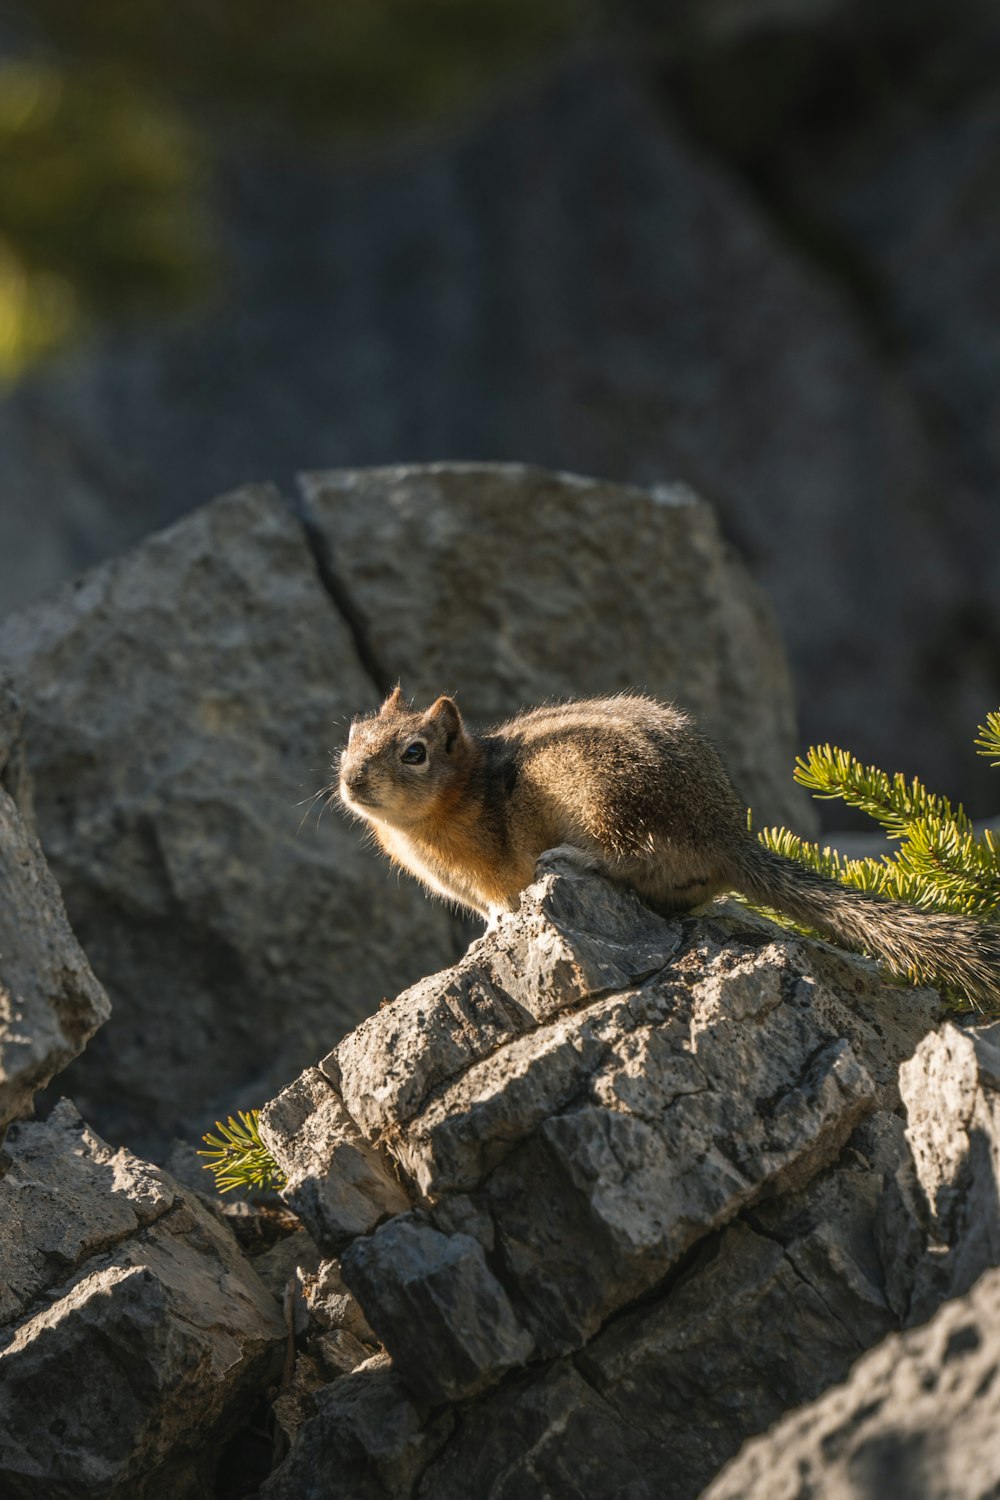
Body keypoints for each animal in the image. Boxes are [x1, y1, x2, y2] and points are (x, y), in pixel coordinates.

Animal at [338, 690, 1000, 1008]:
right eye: (352, 733)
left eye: (415, 752)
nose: (350, 780)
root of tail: (727, 835)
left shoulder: (489, 874)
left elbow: (499, 904)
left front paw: (494, 930)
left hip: (606, 800)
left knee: (627, 856)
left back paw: (571, 859)